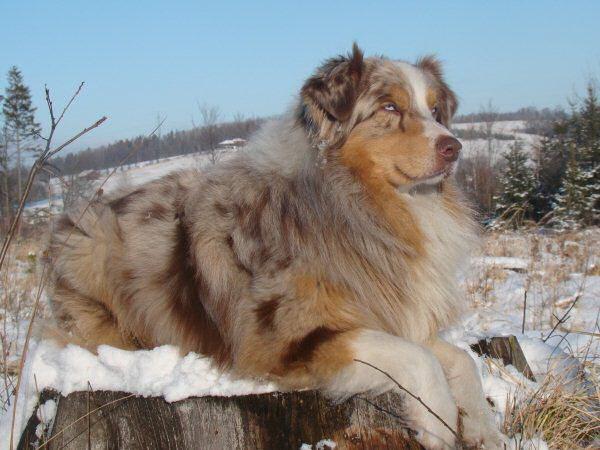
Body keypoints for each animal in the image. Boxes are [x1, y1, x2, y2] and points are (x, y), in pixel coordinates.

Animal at [48, 45, 501, 449]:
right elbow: (418, 358)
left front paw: (484, 429)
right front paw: (440, 423)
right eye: (389, 107)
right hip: (90, 247)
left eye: (436, 112)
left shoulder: (387, 311)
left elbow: (460, 359)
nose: (454, 147)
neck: (353, 205)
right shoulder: (286, 340)